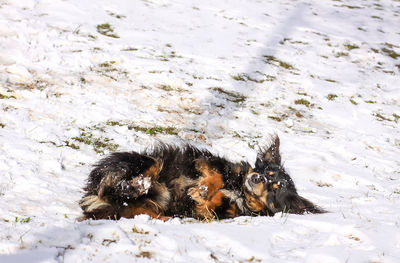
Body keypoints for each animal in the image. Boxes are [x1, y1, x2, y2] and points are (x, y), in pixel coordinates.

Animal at [79, 135, 324, 222]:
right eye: (266, 174)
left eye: (274, 188)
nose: (256, 177)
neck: (241, 191)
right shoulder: (210, 162)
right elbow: (218, 176)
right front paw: (204, 189)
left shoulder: (219, 213)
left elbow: (212, 205)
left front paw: (203, 194)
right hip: (147, 161)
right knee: (118, 183)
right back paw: (139, 184)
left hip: (139, 207)